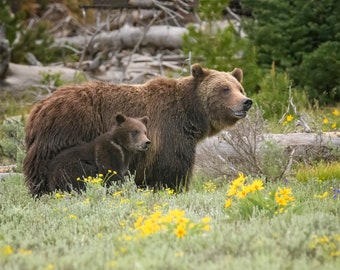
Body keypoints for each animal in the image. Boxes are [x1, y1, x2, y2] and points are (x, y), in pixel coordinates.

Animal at [23, 64, 252, 197]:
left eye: (239, 87)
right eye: (224, 89)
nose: (246, 102)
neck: (190, 115)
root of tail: (37, 108)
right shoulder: (169, 133)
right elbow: (172, 170)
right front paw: (174, 190)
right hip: (66, 134)